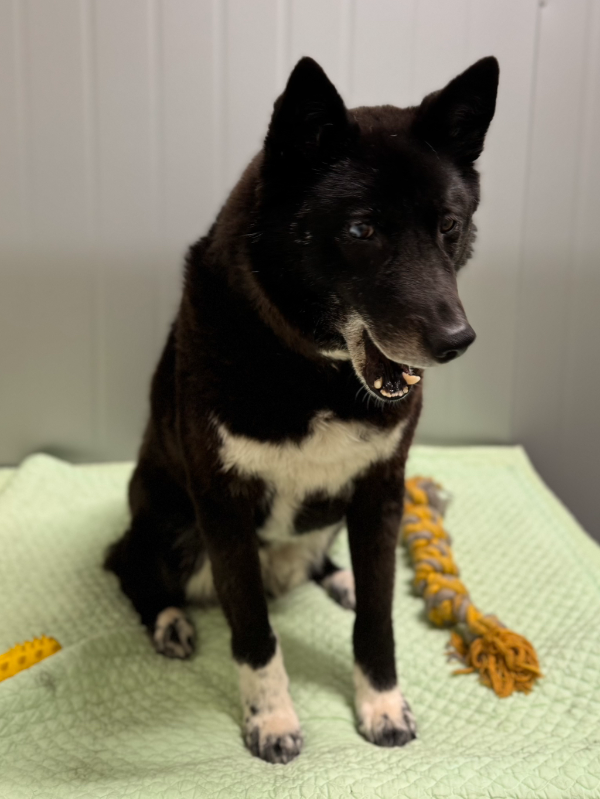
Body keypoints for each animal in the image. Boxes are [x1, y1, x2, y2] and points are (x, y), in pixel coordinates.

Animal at [105, 55, 499, 764]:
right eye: (361, 230)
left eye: (449, 226)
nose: (458, 342)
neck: (316, 370)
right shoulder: (222, 507)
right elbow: (254, 632)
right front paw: (273, 721)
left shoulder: (381, 492)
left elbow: (378, 619)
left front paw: (382, 705)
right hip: (171, 525)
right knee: (127, 564)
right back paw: (170, 621)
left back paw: (337, 578)